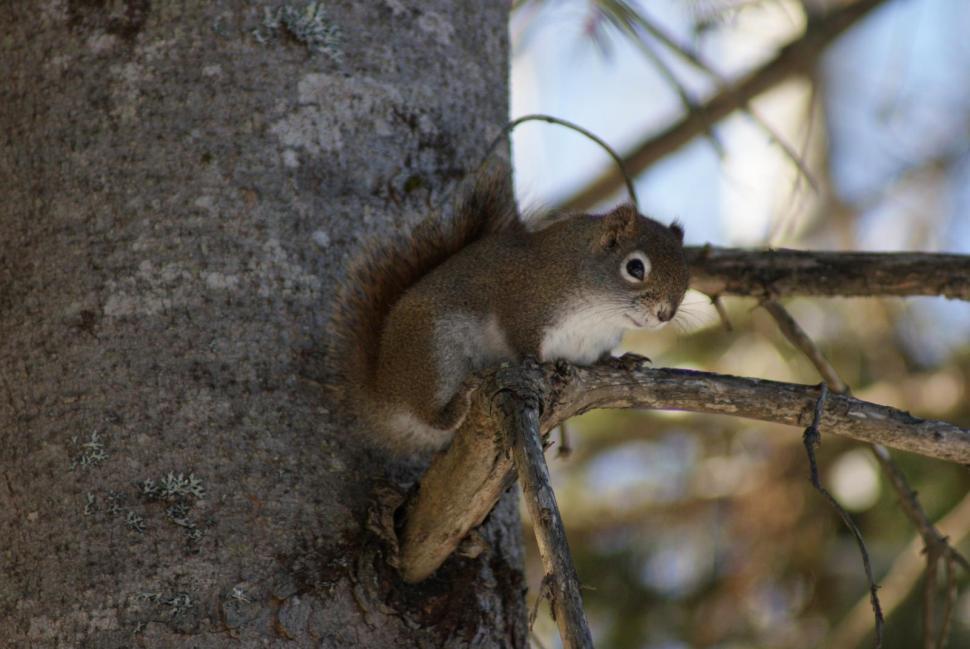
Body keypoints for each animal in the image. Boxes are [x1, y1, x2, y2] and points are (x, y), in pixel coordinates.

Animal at [329, 168, 689, 456]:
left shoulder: (592, 345)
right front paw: (540, 363)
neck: (598, 314)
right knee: (429, 414)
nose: (665, 315)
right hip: (433, 352)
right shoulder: (525, 305)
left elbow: (599, 360)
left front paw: (620, 361)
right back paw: (457, 404)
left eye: (687, 279)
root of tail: (381, 390)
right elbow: (522, 339)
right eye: (635, 268)